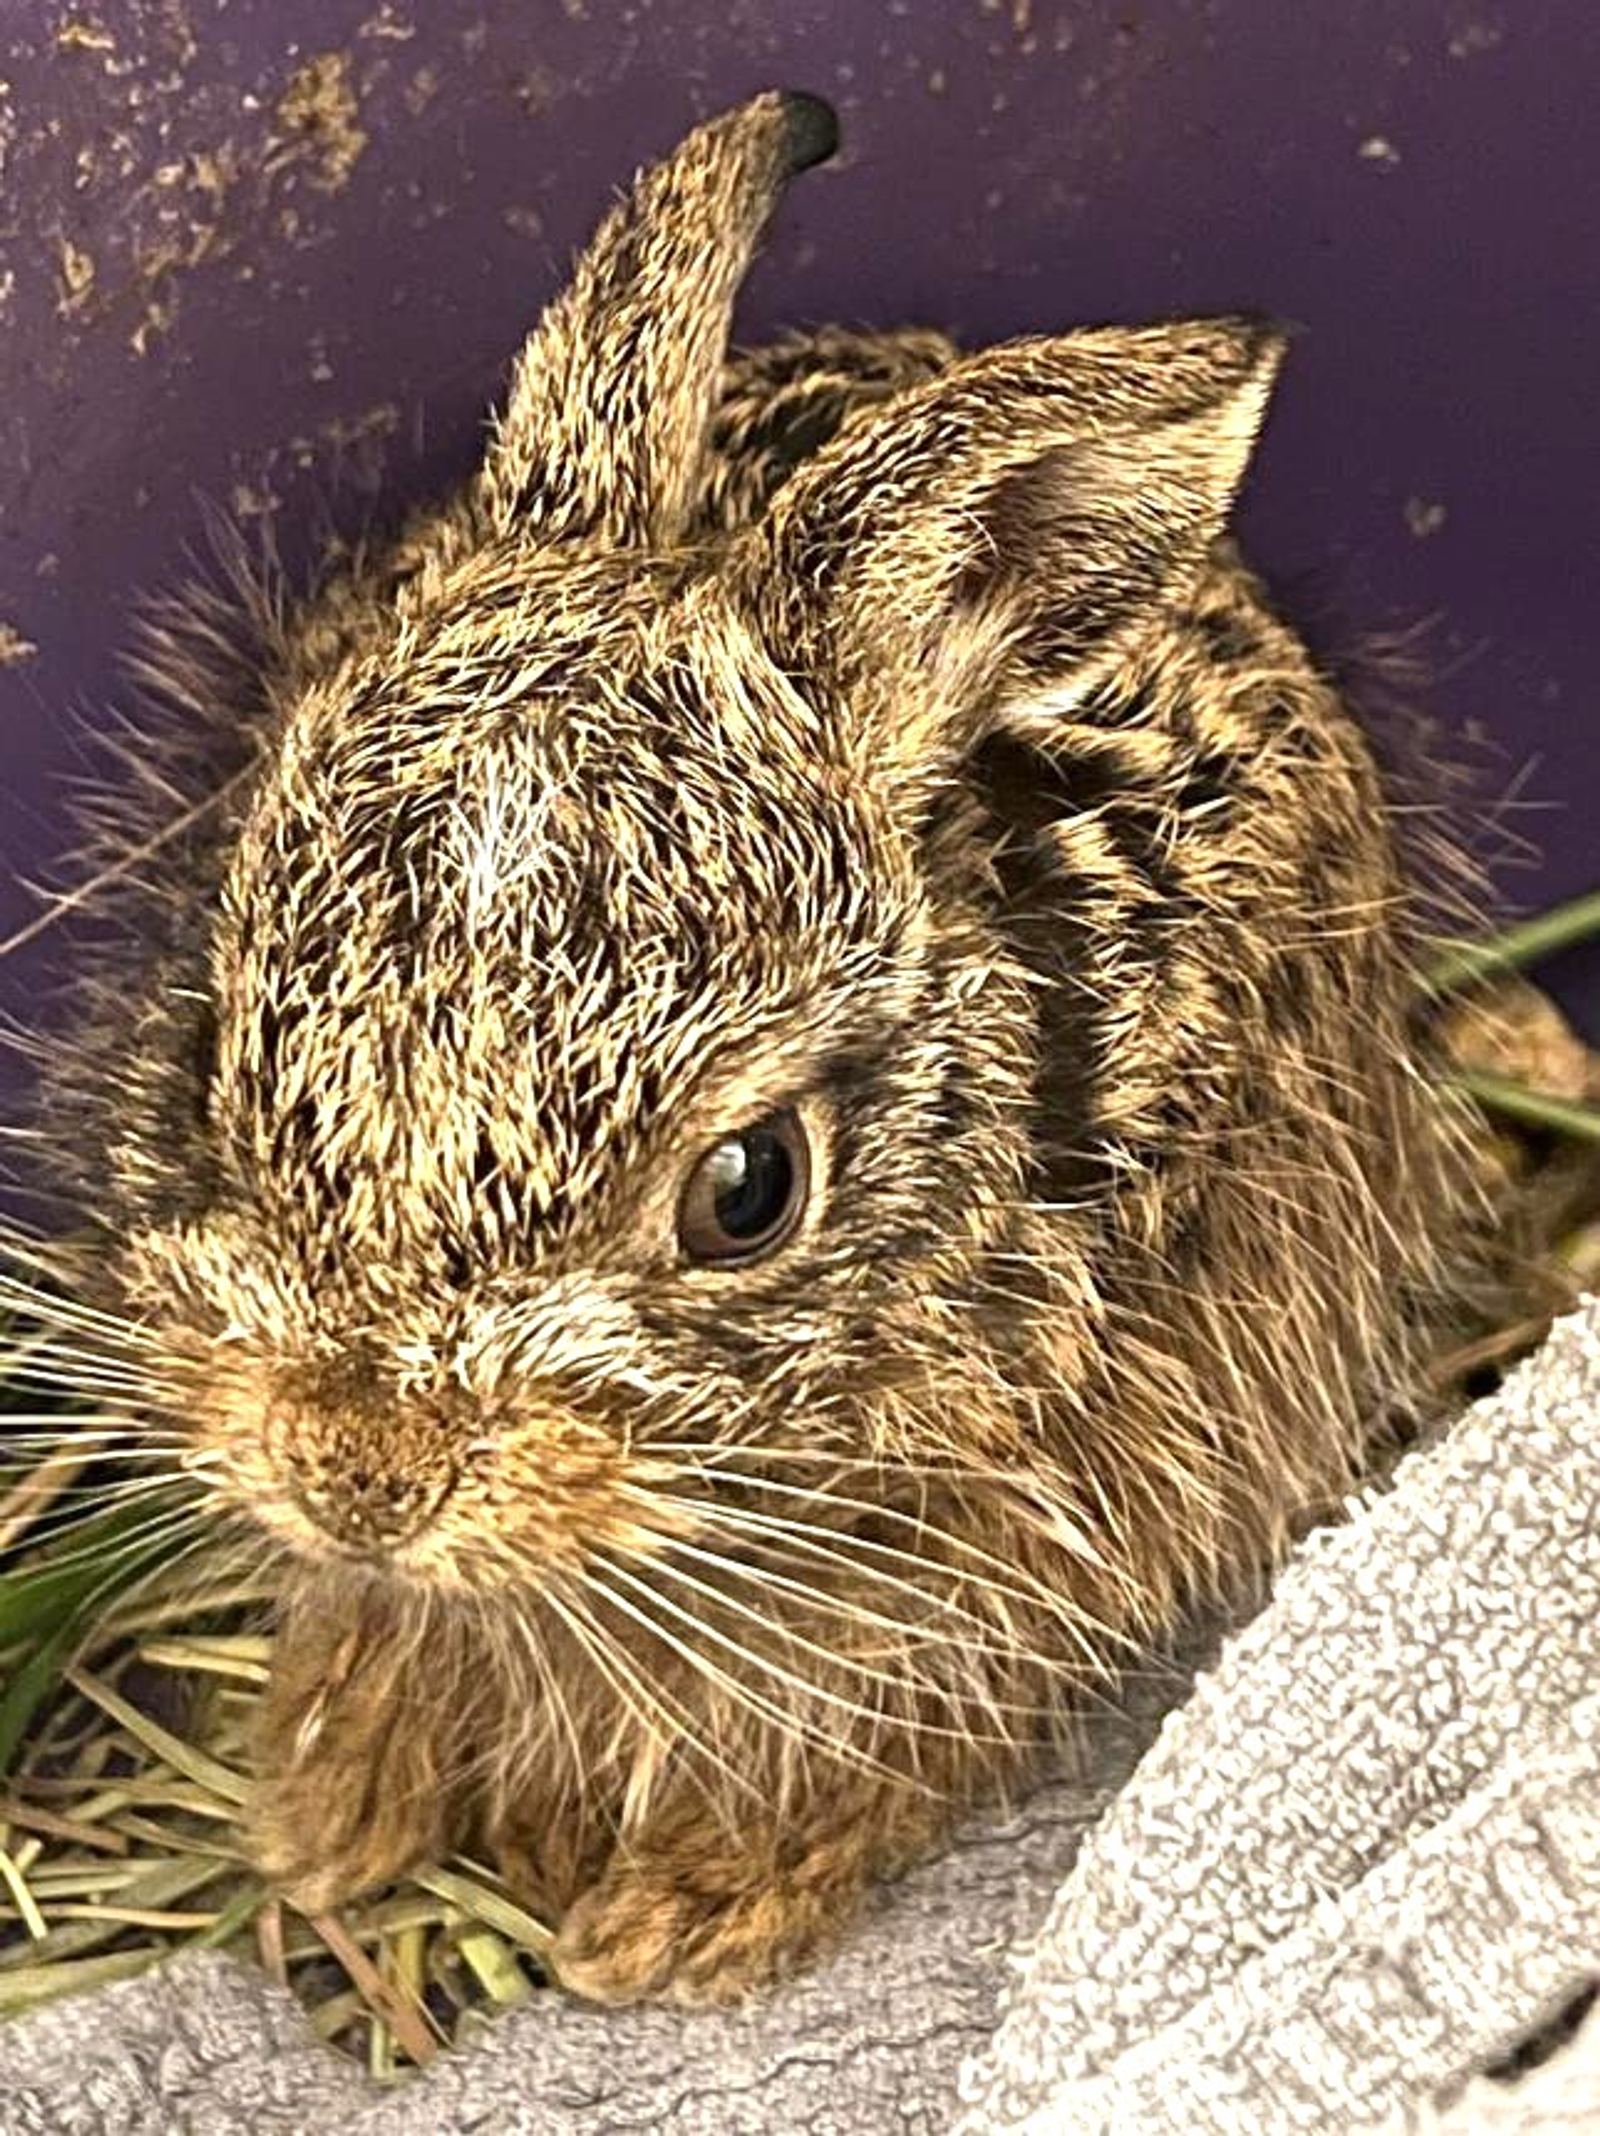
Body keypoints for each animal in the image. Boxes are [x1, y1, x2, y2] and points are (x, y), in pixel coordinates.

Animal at [29, 88, 1480, 2007]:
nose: (357, 1477)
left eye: (749, 1191)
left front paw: (684, 1919)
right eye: (206, 1052)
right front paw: (326, 1802)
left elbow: (916, 1727)